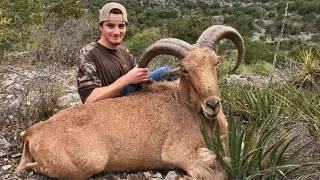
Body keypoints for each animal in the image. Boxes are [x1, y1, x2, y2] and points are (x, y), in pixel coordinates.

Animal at [15, 25, 245, 180]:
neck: (187, 109)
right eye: (185, 70)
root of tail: (32, 132)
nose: (212, 105)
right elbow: (215, 172)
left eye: (215, 62)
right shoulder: (178, 152)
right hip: (88, 163)